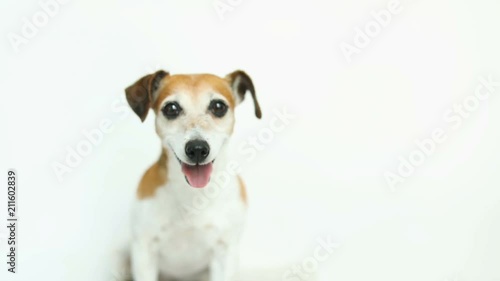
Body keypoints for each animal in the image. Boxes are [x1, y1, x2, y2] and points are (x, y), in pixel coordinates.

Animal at [123, 69, 262, 280]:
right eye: (171, 108)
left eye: (218, 106)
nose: (197, 149)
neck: (192, 195)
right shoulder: (144, 251)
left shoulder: (225, 252)